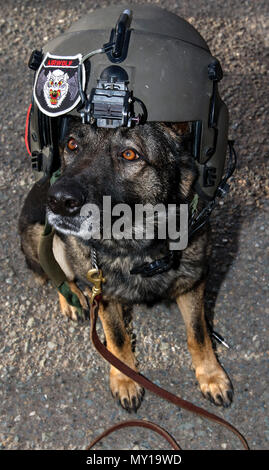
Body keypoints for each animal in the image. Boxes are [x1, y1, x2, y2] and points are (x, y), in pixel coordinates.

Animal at [18, 120, 232, 412]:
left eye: (130, 154)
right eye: (72, 144)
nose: (59, 200)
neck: (138, 246)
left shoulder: (194, 282)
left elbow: (197, 334)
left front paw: (210, 376)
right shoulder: (105, 295)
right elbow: (117, 338)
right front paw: (125, 379)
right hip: (44, 237)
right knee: (56, 274)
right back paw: (71, 299)